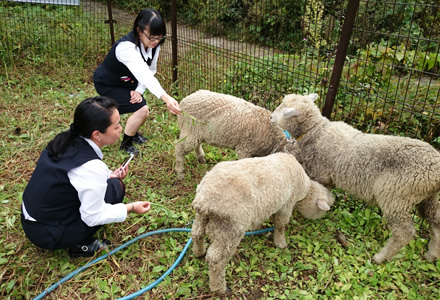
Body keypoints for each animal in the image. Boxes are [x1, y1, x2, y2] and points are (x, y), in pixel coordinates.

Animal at [191, 154, 336, 294]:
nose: (334, 199)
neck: (304, 188)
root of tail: (204, 201)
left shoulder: (263, 207)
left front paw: (256, 227)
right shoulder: (287, 203)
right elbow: (281, 224)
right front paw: (280, 243)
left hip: (202, 219)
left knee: (196, 234)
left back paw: (199, 252)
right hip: (229, 229)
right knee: (216, 260)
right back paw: (219, 288)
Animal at [270, 92, 440, 264]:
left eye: (284, 108)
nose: (271, 117)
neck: (316, 130)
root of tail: (435, 170)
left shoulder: (320, 173)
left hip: (397, 198)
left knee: (404, 232)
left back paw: (380, 257)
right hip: (428, 198)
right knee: (436, 223)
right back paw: (431, 255)